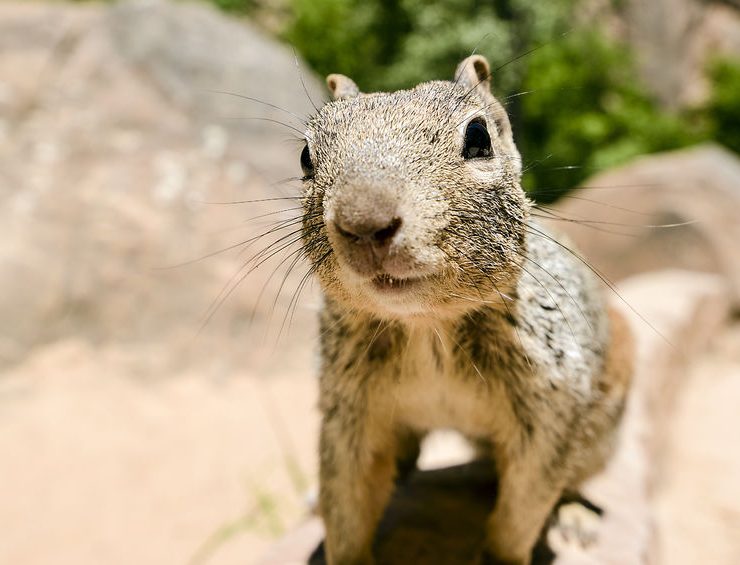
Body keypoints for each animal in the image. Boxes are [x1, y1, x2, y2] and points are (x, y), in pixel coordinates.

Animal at [298, 54, 632, 564]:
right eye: (305, 157)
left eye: (479, 138)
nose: (364, 222)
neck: (426, 325)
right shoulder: (348, 410)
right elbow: (346, 500)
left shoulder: (552, 403)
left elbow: (525, 504)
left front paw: (499, 556)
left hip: (603, 424)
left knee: (576, 477)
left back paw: (576, 515)